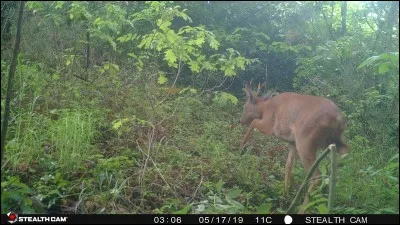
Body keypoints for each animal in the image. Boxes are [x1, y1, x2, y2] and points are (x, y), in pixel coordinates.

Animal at [239, 81, 348, 212]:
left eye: (244, 106)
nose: (240, 120)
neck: (265, 107)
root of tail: (338, 120)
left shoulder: (269, 125)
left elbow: (253, 122)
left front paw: (240, 148)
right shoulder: (292, 142)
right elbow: (288, 165)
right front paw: (285, 193)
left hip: (305, 141)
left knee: (316, 177)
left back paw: (301, 209)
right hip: (336, 143)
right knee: (336, 171)